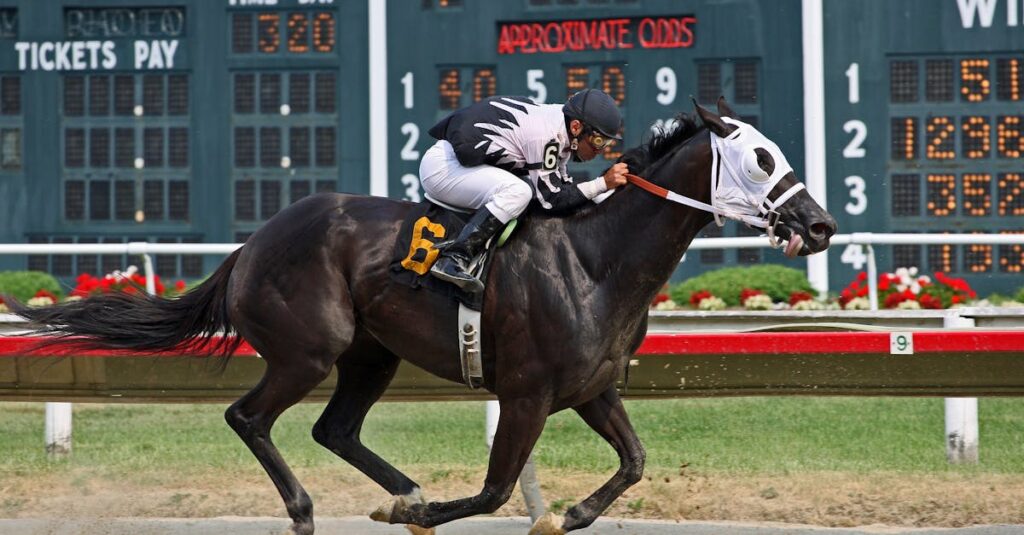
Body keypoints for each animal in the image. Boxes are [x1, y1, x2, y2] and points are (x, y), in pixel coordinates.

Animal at [10, 98, 836, 534]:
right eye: (761, 159)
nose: (821, 225)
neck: (595, 258)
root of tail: (254, 241)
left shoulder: (593, 387)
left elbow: (634, 460)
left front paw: (566, 512)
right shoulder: (527, 391)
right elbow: (496, 488)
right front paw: (434, 511)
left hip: (371, 353)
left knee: (334, 428)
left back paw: (399, 488)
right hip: (310, 349)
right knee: (250, 417)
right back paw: (310, 509)